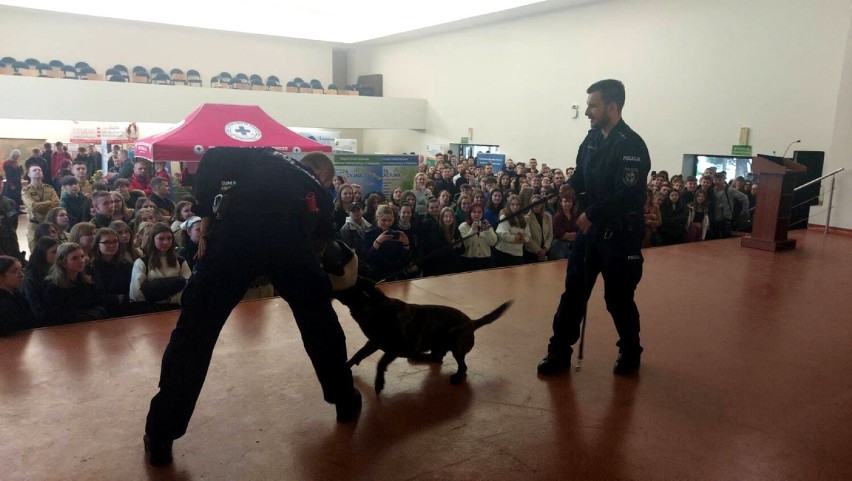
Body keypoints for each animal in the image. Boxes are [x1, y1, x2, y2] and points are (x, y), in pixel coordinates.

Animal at [334, 276, 512, 392]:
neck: (374, 305)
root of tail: (472, 322)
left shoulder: (394, 348)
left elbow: (381, 362)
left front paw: (379, 383)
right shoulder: (374, 343)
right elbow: (359, 354)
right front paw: (345, 367)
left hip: (457, 347)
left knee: (462, 366)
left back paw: (456, 377)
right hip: (437, 344)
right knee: (437, 357)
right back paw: (418, 356)